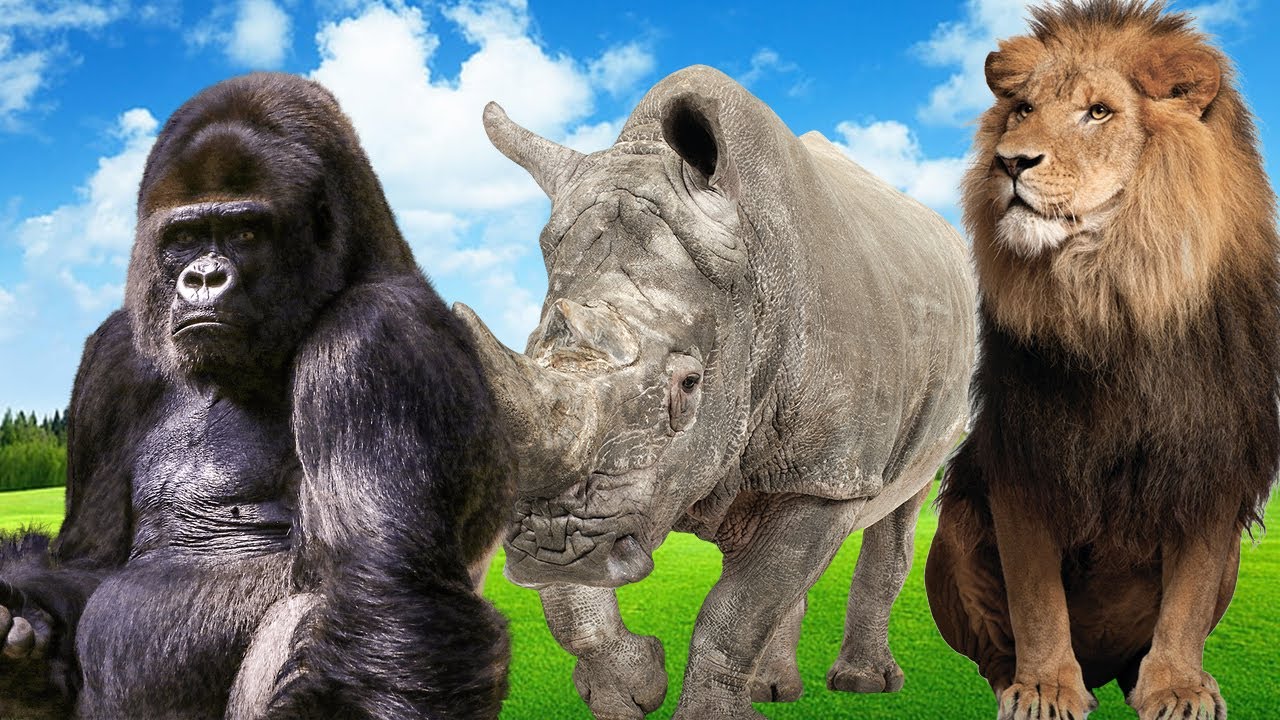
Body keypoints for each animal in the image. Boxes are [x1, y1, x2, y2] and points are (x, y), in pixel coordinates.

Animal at [454, 65, 976, 718]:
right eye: (522, 348)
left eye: (690, 383)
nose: (551, 544)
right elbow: (575, 604)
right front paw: (633, 686)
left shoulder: (830, 476)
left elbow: (736, 612)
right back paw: (773, 691)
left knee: (900, 505)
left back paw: (864, 685)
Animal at [925, 2, 1279, 719]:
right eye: (1022, 109)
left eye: (1098, 112)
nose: (1009, 162)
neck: (1114, 297)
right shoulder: (1026, 452)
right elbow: (1036, 596)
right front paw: (1044, 688)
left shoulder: (1212, 459)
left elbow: (1189, 594)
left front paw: (1176, 688)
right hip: (952, 530)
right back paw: (1014, 679)